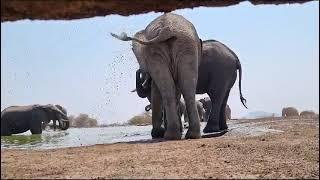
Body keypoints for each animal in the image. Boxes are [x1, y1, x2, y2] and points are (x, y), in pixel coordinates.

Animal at [111, 12, 201, 140]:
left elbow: (156, 91)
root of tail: (166, 30)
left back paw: (171, 135)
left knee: (175, 89)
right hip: (182, 47)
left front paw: (157, 133)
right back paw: (181, 135)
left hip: (177, 46)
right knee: (185, 89)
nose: (139, 70)